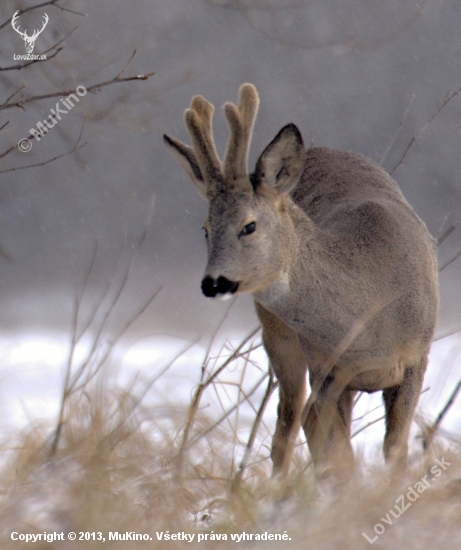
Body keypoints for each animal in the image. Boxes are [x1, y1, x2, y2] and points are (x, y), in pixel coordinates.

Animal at [163, 84, 438, 480]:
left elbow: (394, 452)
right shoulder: (327, 369)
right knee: (288, 424)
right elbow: (337, 456)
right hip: (279, 337)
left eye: (248, 225)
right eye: (205, 229)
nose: (213, 282)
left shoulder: (417, 356)